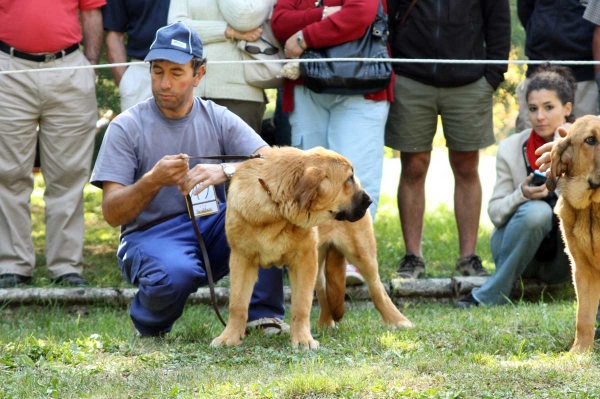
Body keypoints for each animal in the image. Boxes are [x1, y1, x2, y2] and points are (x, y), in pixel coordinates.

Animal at [210, 147, 412, 350]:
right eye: (349, 178)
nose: (369, 200)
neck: (276, 209)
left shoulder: (303, 261)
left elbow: (301, 305)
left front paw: (302, 339)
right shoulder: (241, 259)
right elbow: (237, 304)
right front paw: (229, 337)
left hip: (361, 253)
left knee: (377, 289)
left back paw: (398, 321)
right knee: (324, 292)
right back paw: (325, 324)